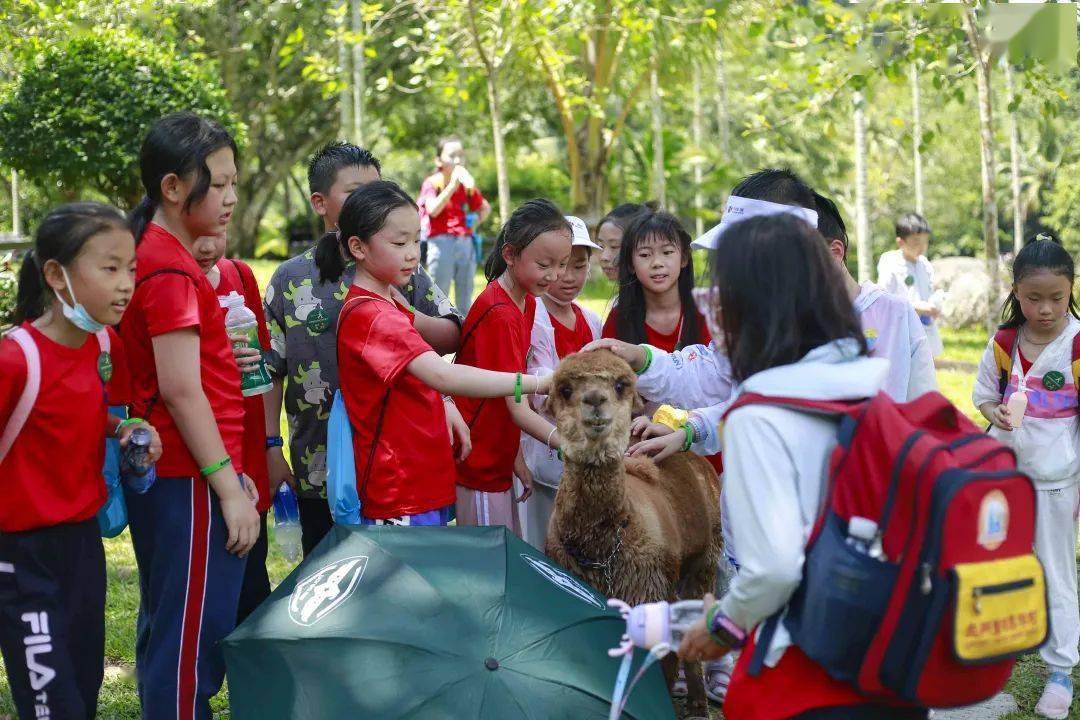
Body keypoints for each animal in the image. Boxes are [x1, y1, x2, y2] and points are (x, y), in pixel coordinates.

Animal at [544, 349, 721, 716]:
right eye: (565, 389)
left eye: (621, 384)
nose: (595, 399)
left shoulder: (649, 589)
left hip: (705, 558)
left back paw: (698, 703)